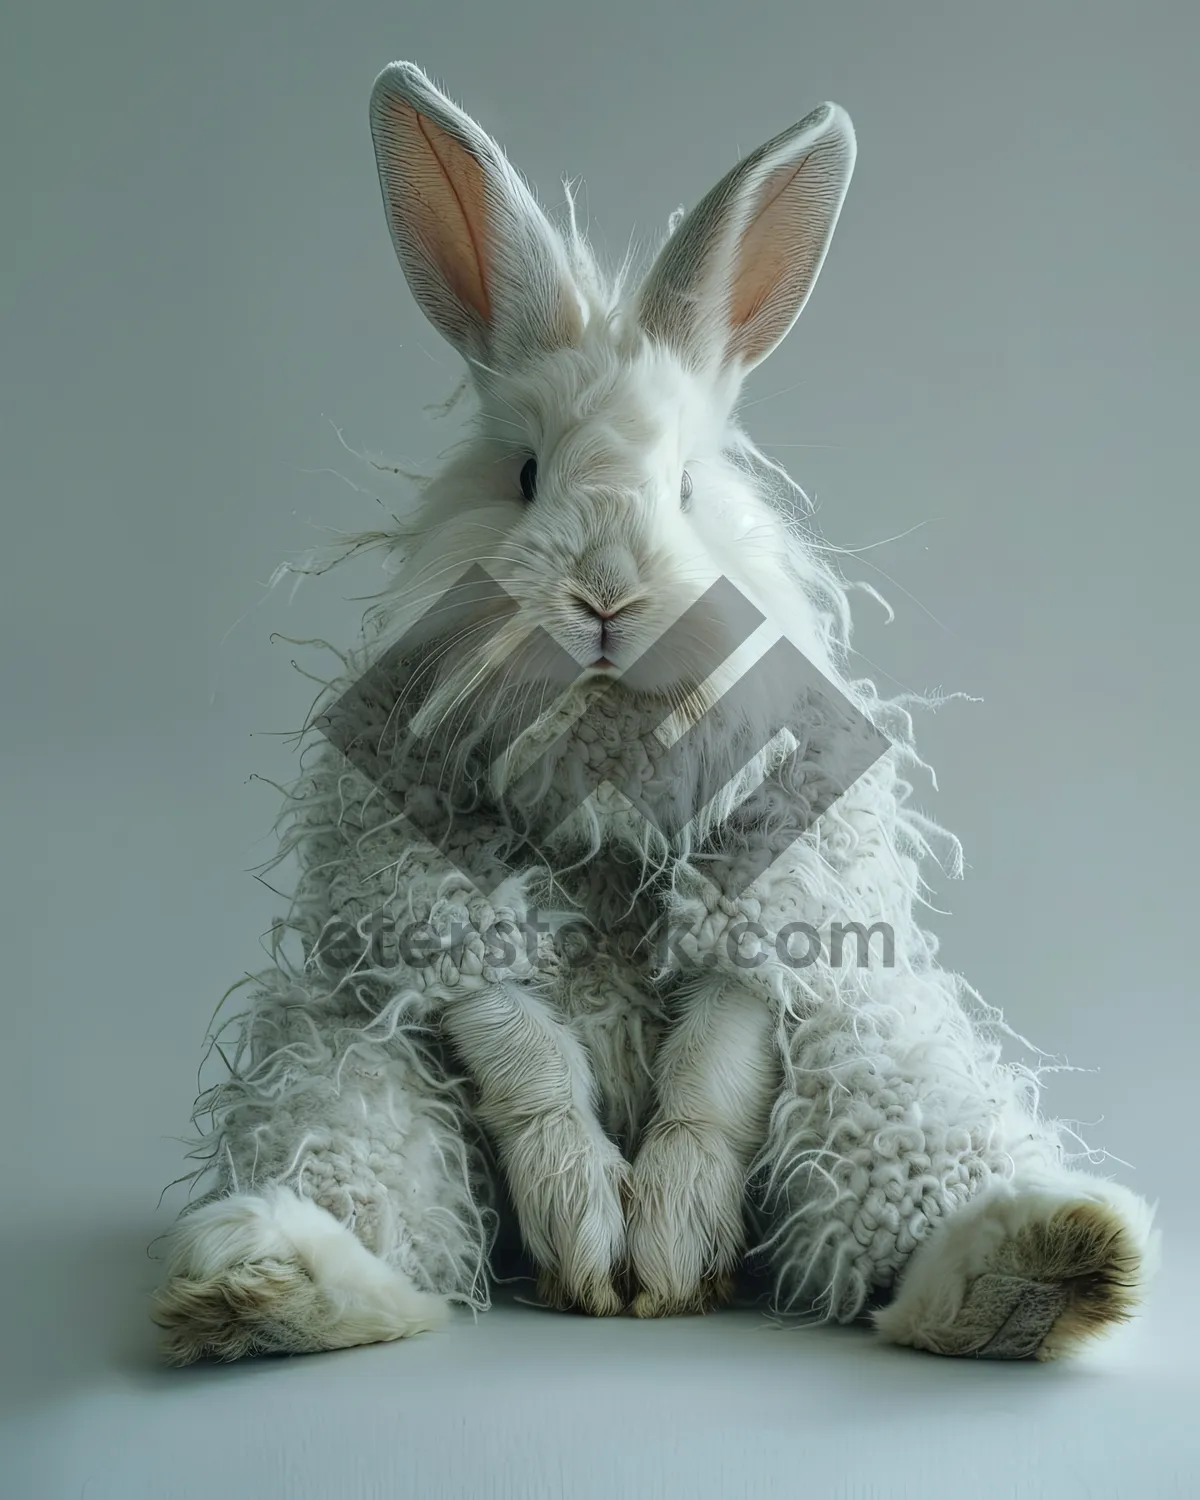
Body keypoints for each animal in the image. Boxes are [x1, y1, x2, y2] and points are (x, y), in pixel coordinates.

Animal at [150, 64, 1152, 1368]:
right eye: (527, 474)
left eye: (685, 486)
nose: (606, 599)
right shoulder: (415, 851)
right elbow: (512, 1038)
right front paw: (591, 1234)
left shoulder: (781, 853)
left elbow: (720, 1054)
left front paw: (668, 1248)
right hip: (341, 1050)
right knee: (364, 1147)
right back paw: (266, 1283)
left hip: (880, 1047)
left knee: (892, 1132)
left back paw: (1042, 1264)